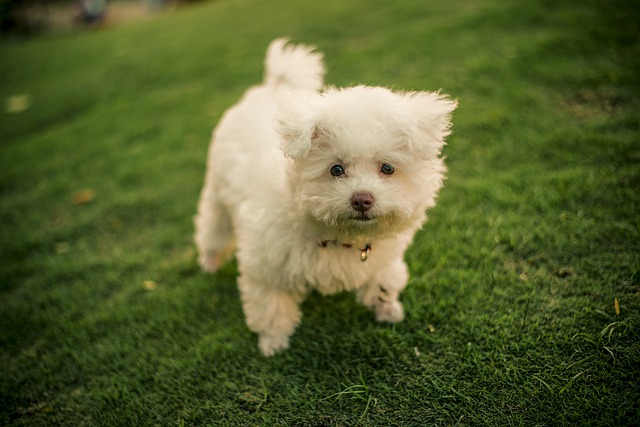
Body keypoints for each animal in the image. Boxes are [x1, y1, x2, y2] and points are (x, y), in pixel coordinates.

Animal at [192, 38, 458, 356]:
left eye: (387, 168)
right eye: (336, 169)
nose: (362, 199)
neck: (337, 236)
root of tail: (269, 87)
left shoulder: (382, 258)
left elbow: (382, 281)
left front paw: (387, 309)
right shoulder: (266, 266)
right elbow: (271, 308)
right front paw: (273, 345)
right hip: (217, 192)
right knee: (213, 226)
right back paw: (210, 260)